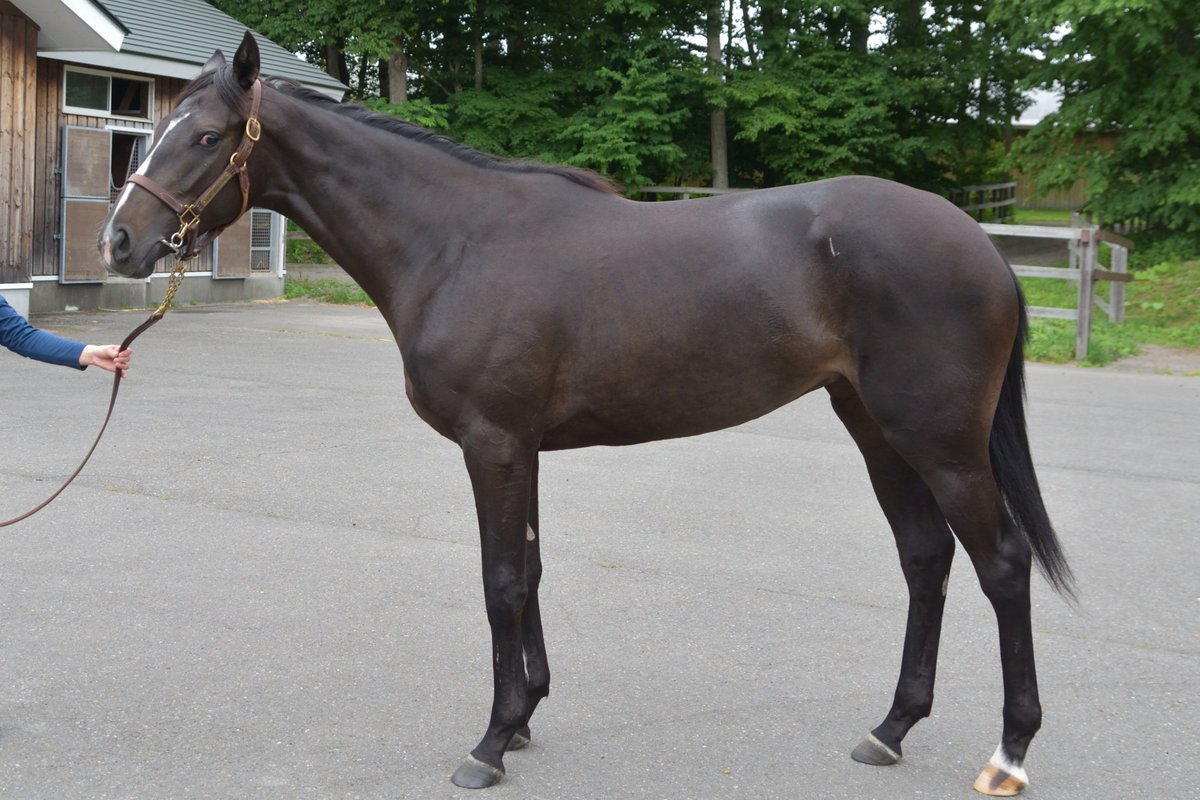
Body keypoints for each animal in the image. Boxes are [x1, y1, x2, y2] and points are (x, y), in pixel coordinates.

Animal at [98, 32, 1073, 796]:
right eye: (156, 129)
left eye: (207, 136)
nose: (118, 242)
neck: (455, 243)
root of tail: (982, 244)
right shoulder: (520, 447)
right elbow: (528, 574)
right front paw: (526, 715)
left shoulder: (492, 444)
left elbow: (498, 581)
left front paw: (489, 744)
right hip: (875, 429)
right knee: (925, 559)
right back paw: (891, 728)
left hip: (941, 443)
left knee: (1001, 565)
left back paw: (1009, 754)